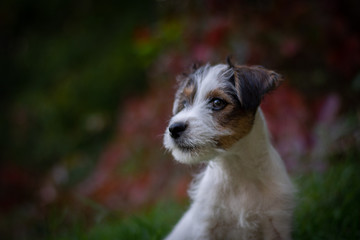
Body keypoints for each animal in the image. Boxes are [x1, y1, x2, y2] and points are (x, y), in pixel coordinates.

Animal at [163, 58, 296, 240]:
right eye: (184, 104)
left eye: (217, 103)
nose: (174, 128)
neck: (236, 172)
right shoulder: (206, 226)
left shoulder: (276, 224)